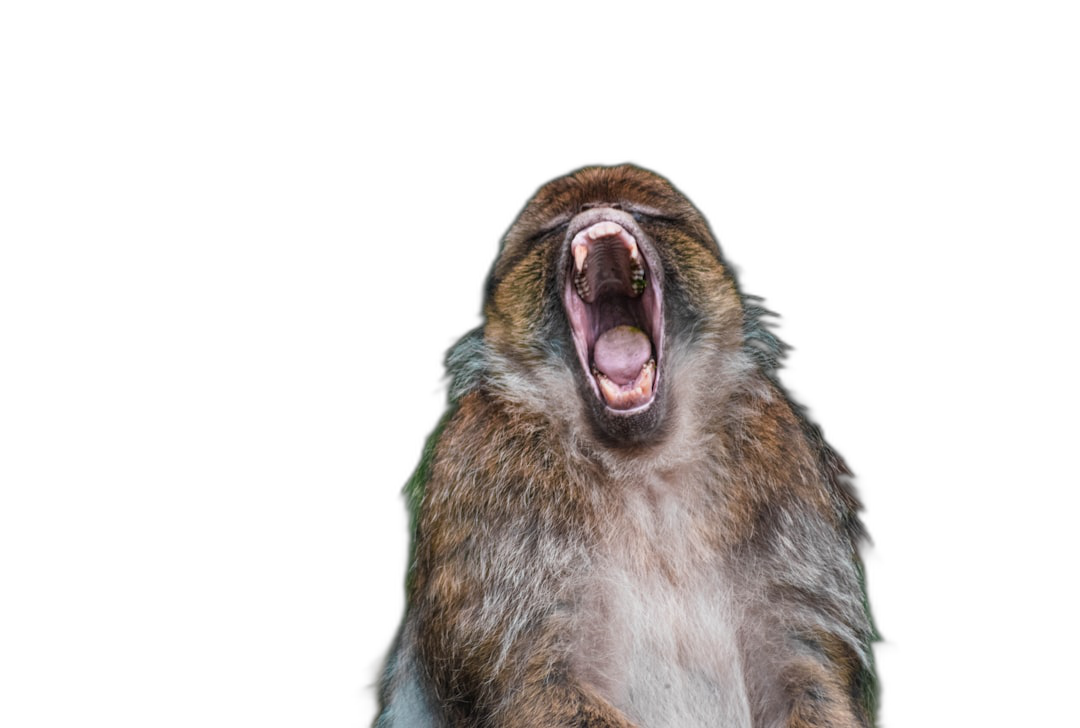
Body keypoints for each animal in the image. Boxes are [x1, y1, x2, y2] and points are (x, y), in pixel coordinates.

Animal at [375, 166, 872, 725]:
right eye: (554, 225)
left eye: (646, 212)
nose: (599, 211)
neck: (642, 465)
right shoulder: (479, 471)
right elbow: (534, 682)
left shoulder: (783, 458)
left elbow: (804, 669)